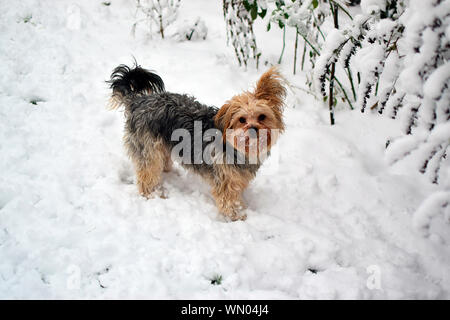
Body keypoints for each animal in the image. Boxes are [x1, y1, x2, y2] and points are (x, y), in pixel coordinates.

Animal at [107, 62, 286, 220]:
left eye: (262, 117)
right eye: (242, 119)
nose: (254, 129)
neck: (237, 147)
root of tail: (138, 102)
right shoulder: (224, 179)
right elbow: (229, 201)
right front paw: (238, 217)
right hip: (147, 149)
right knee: (147, 174)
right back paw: (153, 194)